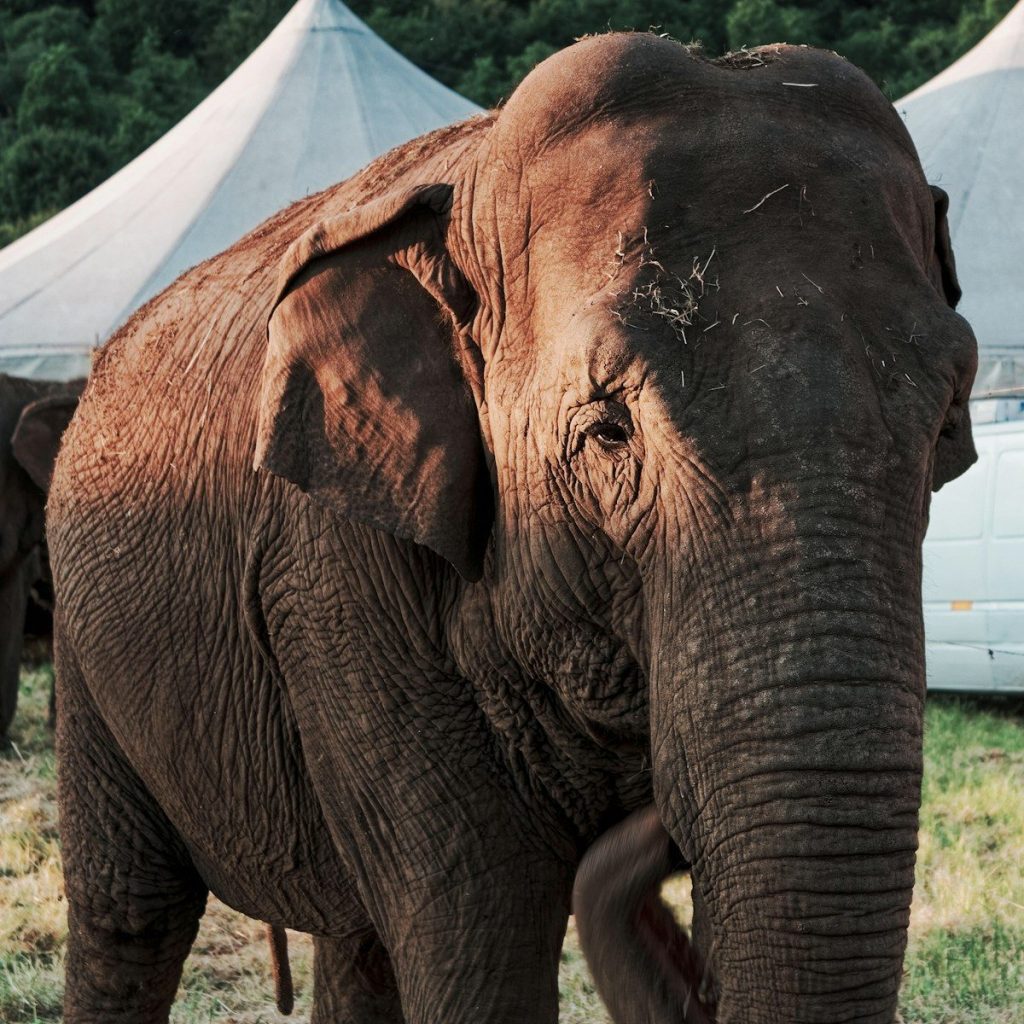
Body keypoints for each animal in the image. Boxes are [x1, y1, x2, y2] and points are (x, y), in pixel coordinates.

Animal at [48, 33, 977, 1024]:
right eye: (610, 431)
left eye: (946, 423)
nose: (648, 814)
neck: (471, 182)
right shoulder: (331, 573)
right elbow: (479, 933)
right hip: (84, 642)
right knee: (130, 912)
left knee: (354, 941)